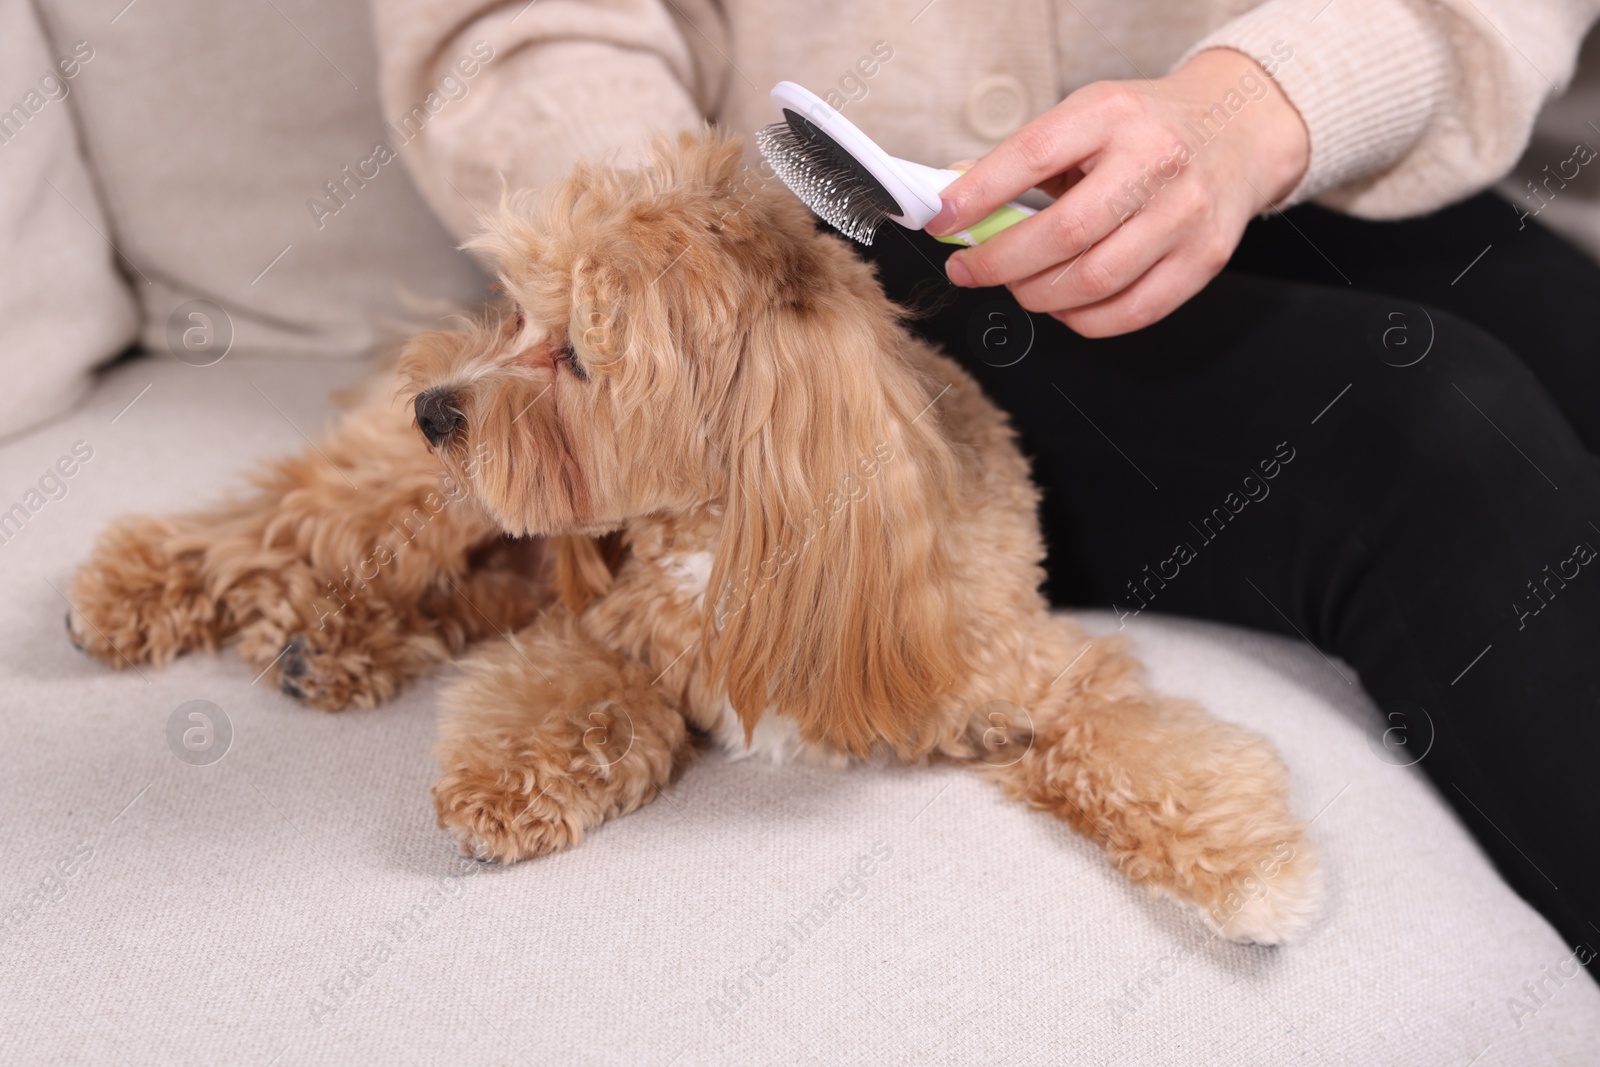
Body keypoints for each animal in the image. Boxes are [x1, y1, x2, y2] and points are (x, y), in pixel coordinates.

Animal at [68, 131, 1324, 940]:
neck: (724, 531)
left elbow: (1141, 750)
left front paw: (1251, 872)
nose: (437, 410)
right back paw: (141, 590)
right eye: (523, 313)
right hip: (423, 501)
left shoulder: (1030, 665)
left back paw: (325, 644)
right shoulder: (609, 629)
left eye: (579, 353)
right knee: (278, 521)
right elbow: (570, 698)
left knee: (449, 584)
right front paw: (503, 786)